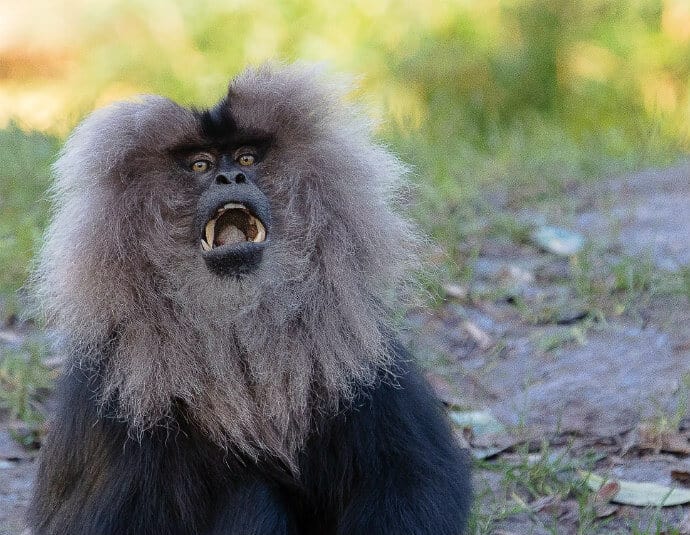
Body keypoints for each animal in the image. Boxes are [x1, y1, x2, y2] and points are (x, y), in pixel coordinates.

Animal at [26, 65, 468, 535]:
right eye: (201, 165)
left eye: (246, 160)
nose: (230, 179)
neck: (241, 331)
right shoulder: (115, 397)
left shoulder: (362, 365)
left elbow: (412, 478)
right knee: (254, 496)